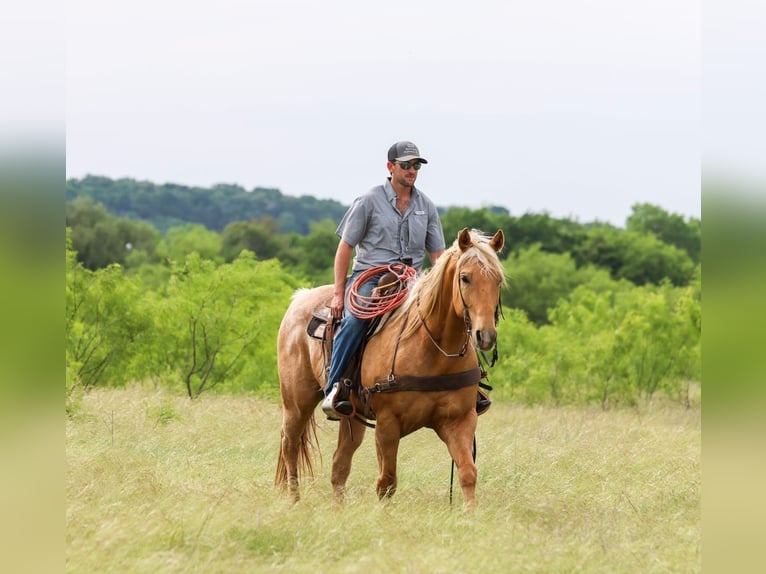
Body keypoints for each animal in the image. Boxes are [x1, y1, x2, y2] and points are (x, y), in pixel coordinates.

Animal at [275, 228, 506, 508]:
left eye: (498, 280)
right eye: (465, 278)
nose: (486, 336)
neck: (432, 347)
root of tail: (300, 299)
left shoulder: (460, 420)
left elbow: (468, 473)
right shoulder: (387, 423)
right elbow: (387, 482)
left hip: (351, 416)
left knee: (339, 464)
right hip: (297, 402)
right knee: (290, 446)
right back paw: (293, 501)